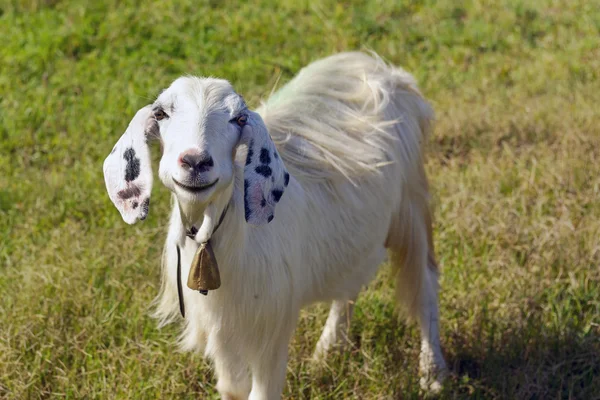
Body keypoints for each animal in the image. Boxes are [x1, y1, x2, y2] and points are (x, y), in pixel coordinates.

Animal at [103, 51, 448, 398]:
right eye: (161, 113)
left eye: (239, 119)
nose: (196, 162)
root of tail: (383, 68)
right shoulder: (222, 331)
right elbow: (232, 388)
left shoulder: (270, 328)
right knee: (352, 281)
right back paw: (327, 351)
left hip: (412, 203)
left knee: (425, 280)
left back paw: (432, 374)